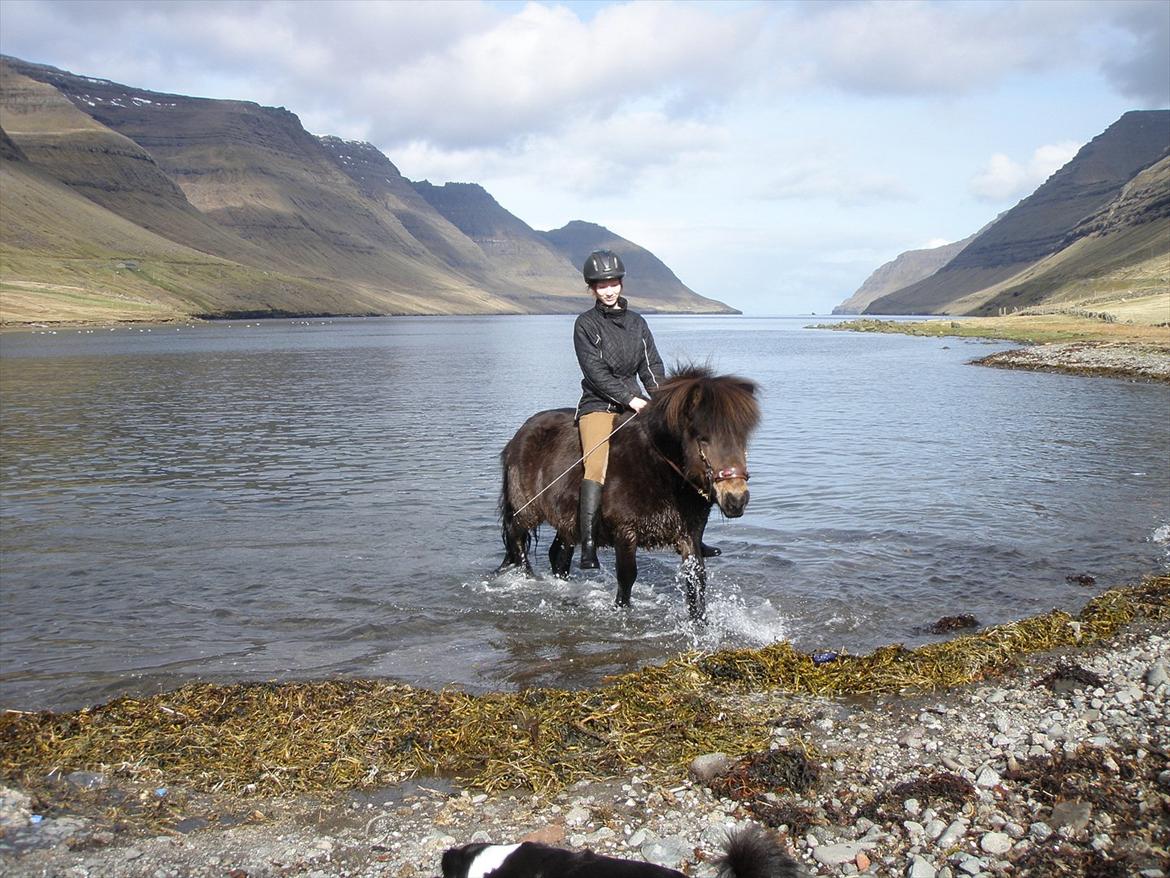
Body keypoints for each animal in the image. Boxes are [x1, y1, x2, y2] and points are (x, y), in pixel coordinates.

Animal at [496, 367, 758, 622]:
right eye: (703, 439)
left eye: (742, 438)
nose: (736, 499)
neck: (658, 467)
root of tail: (519, 436)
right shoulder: (625, 532)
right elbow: (627, 578)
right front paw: (622, 611)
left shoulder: (690, 534)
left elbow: (696, 581)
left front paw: (700, 623)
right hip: (525, 512)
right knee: (517, 543)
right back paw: (528, 578)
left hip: (567, 521)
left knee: (558, 556)